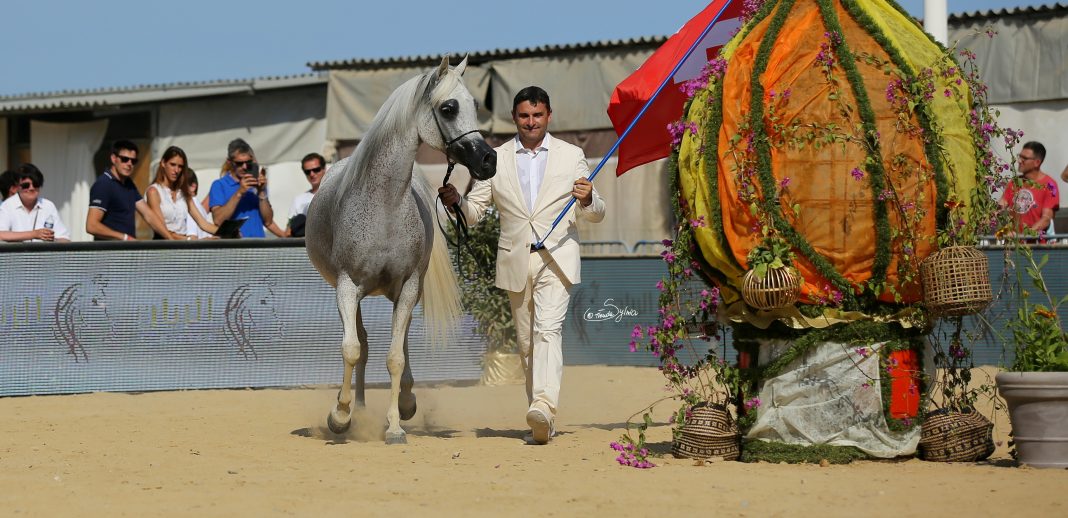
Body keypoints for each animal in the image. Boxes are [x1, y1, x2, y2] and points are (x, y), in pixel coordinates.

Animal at [305, 57, 495, 444]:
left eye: (475, 105)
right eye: (448, 108)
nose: (489, 160)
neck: (385, 205)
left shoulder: (408, 287)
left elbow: (395, 357)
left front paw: (393, 426)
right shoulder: (347, 287)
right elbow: (351, 349)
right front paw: (340, 415)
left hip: (404, 293)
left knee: (400, 343)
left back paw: (404, 402)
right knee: (361, 344)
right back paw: (358, 409)